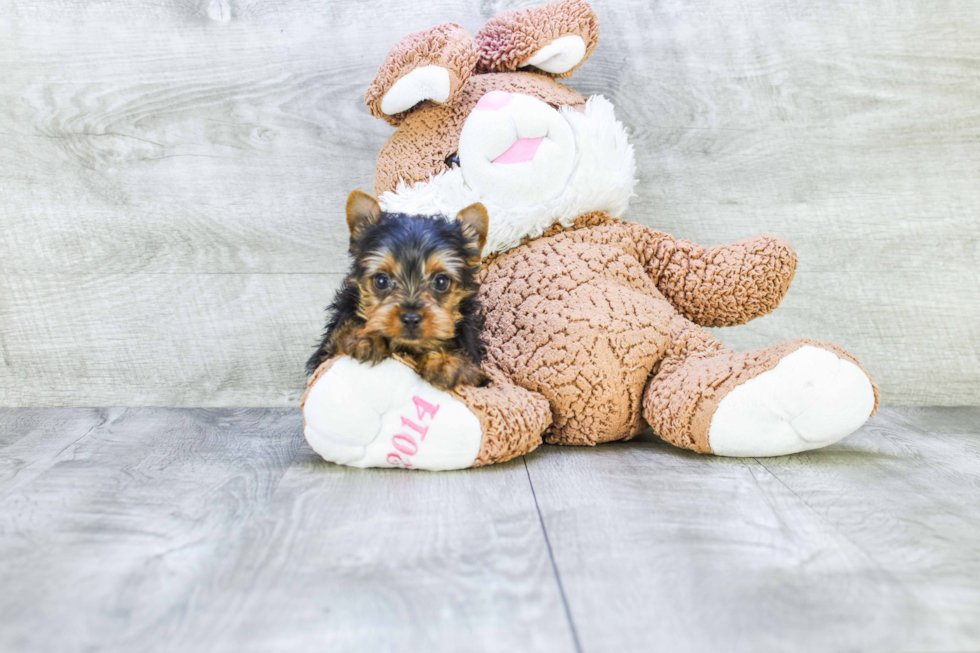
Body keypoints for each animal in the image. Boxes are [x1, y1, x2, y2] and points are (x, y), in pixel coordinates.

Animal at [306, 191, 490, 390]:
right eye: (381, 280)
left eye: (441, 282)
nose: (411, 318)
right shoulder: (326, 351)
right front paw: (365, 336)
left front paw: (447, 361)